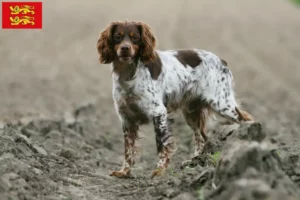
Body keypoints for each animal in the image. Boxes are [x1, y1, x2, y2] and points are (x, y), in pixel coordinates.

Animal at [96, 21, 253, 179]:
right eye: (117, 36)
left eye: (135, 38)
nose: (125, 48)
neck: (128, 74)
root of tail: (222, 61)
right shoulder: (127, 118)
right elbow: (128, 149)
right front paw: (124, 171)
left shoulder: (158, 112)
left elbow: (161, 144)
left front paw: (159, 171)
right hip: (191, 113)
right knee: (201, 138)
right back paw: (194, 162)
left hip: (222, 104)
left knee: (245, 120)